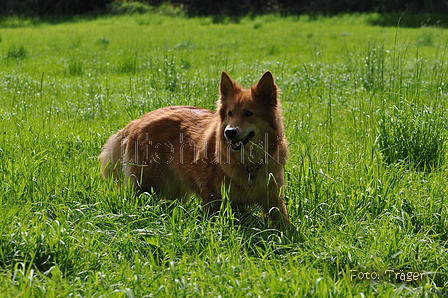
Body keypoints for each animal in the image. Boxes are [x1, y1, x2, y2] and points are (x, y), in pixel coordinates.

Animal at [99, 70, 290, 228]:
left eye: (248, 113)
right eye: (230, 113)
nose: (229, 133)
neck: (248, 164)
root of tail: (137, 121)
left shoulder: (274, 198)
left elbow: (284, 224)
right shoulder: (213, 200)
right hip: (148, 185)